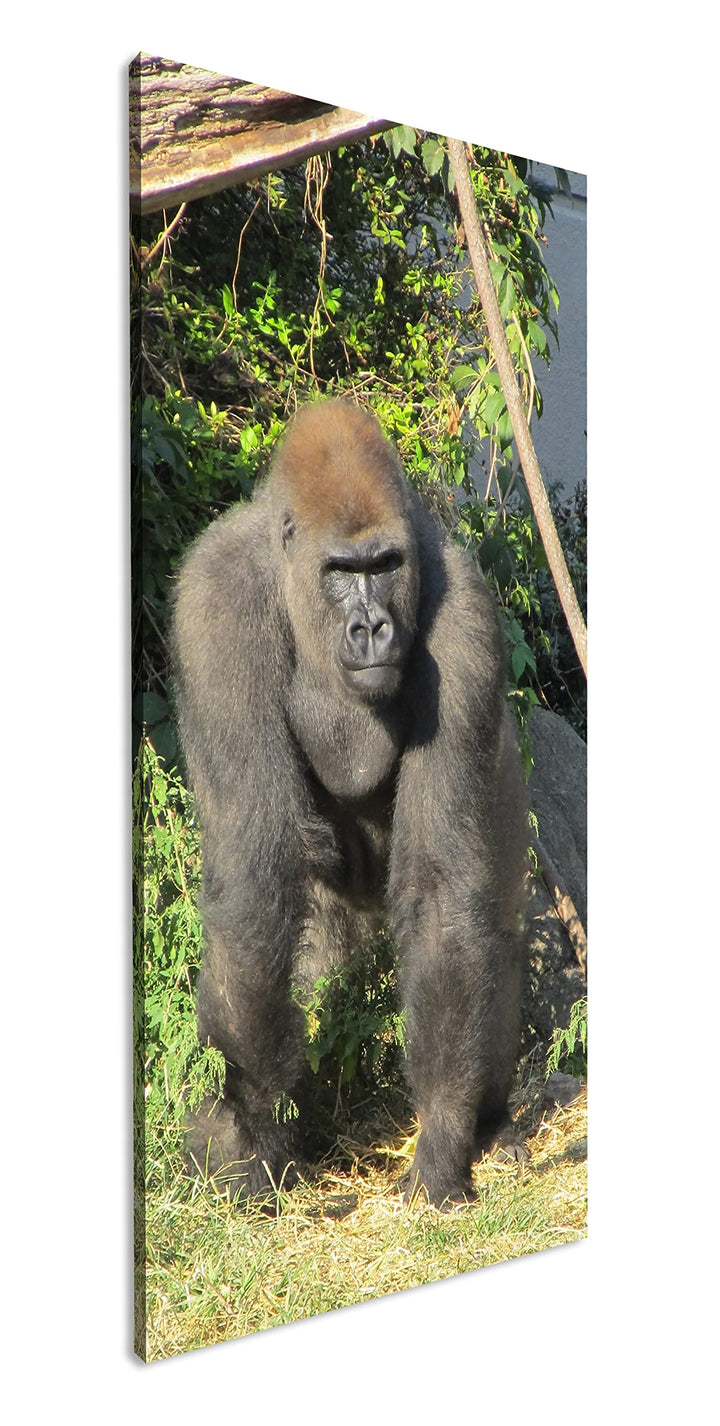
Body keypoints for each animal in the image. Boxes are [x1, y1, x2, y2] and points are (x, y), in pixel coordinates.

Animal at [172, 398, 527, 1209]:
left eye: (385, 566)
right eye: (341, 572)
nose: (371, 627)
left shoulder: (466, 619)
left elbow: (441, 891)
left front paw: (444, 1136)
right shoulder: (216, 603)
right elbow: (256, 881)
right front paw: (247, 1131)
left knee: (485, 926)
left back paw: (493, 1120)